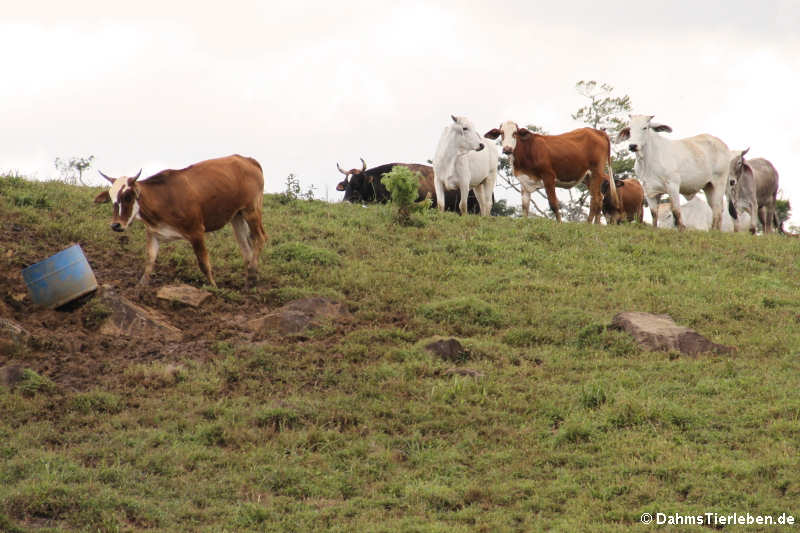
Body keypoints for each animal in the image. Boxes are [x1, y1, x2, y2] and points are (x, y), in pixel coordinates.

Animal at [94, 154, 268, 286]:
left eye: (128, 196)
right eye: (111, 198)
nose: (116, 225)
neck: (164, 199)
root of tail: (247, 159)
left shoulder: (197, 231)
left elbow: (203, 263)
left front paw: (214, 287)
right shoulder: (153, 233)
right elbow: (150, 261)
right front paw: (140, 286)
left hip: (251, 210)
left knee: (260, 238)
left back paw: (253, 273)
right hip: (237, 215)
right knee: (246, 247)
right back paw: (250, 278)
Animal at [482, 119, 620, 221]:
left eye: (515, 133)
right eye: (501, 133)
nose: (507, 149)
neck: (528, 151)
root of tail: (598, 132)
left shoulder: (548, 176)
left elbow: (553, 204)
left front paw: (559, 223)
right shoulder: (524, 182)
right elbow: (525, 206)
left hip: (597, 171)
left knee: (595, 199)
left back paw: (588, 224)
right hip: (588, 177)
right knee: (599, 198)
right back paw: (596, 224)